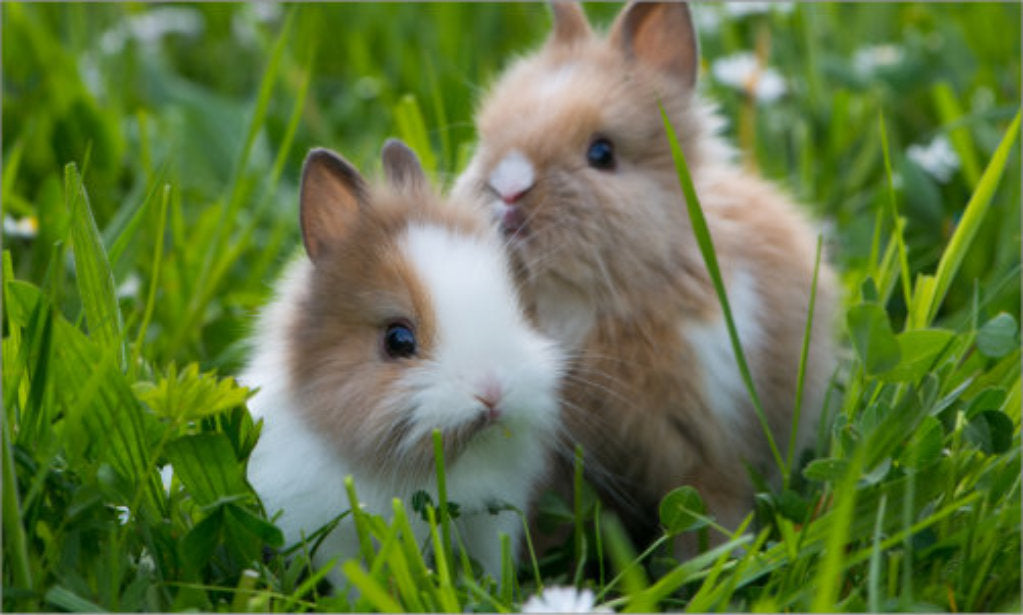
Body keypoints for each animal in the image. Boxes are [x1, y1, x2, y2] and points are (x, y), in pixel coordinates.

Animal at [451, 1, 839, 552]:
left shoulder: (703, 448)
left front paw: (710, 561)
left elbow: (708, 509)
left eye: (602, 153)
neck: (576, 299)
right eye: (486, 138)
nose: (507, 189)